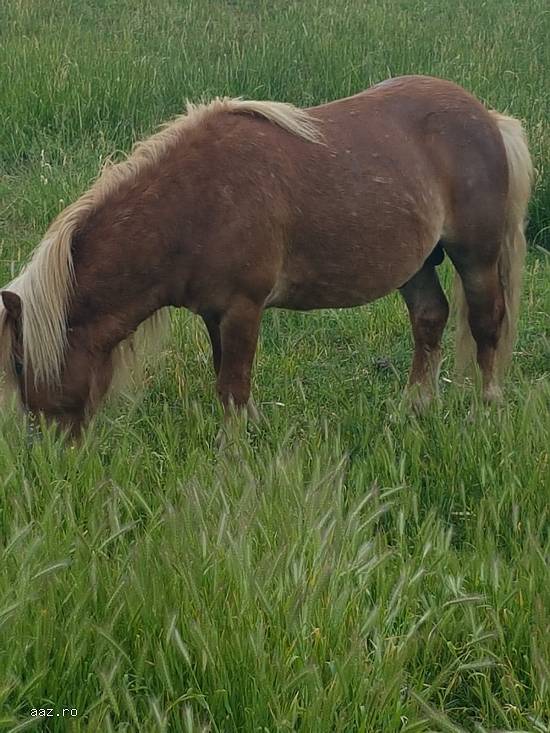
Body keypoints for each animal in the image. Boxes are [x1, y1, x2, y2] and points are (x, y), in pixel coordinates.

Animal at [0, 76, 536, 434]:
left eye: (21, 365)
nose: (48, 448)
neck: (195, 203)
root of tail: (488, 118)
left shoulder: (242, 307)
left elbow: (232, 386)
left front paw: (234, 454)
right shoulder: (215, 314)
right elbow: (228, 379)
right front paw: (252, 432)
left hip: (476, 256)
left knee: (486, 323)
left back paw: (486, 407)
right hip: (417, 264)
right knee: (429, 318)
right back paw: (415, 406)